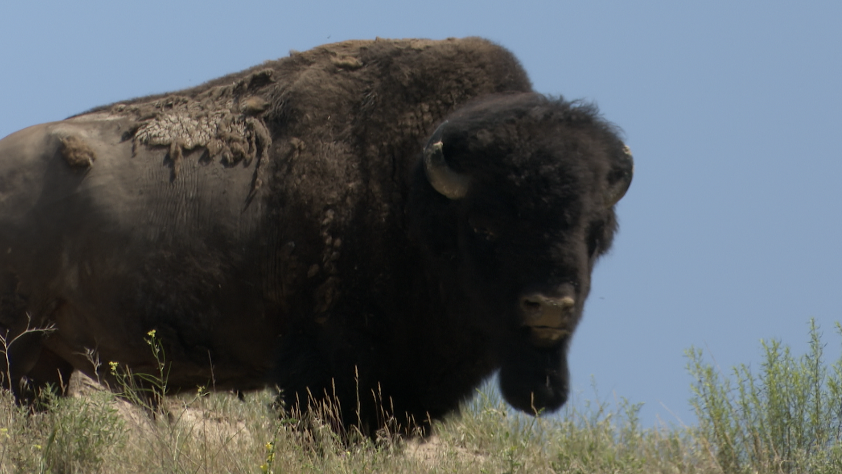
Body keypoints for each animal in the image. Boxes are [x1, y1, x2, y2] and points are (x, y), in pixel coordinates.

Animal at [0, 37, 632, 432]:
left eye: (594, 230)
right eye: (486, 223)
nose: (549, 306)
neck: (413, 186)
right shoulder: (330, 370)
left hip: (48, 360)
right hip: (17, 343)